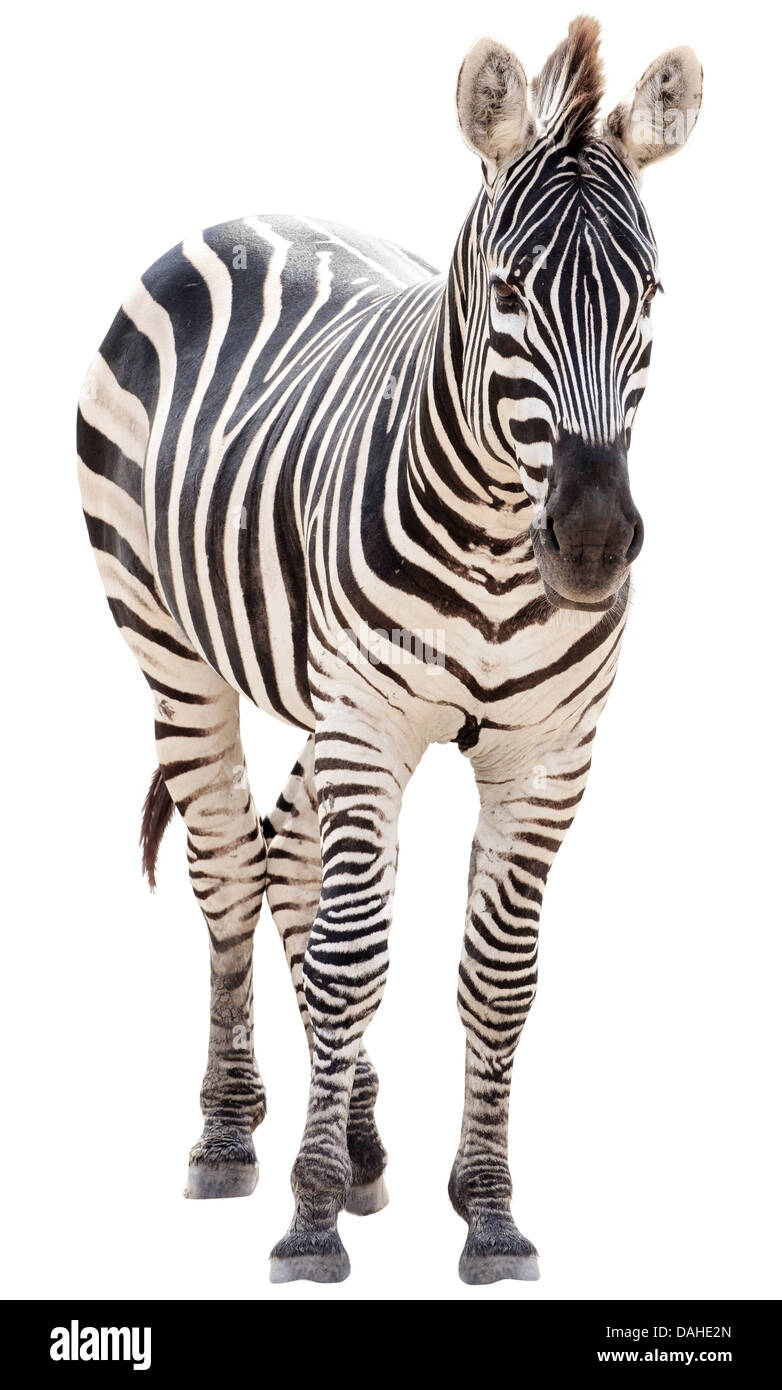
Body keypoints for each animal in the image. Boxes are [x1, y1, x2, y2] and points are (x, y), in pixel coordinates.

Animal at [77, 17, 702, 1285]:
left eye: (651, 290)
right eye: (509, 289)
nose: (592, 539)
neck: (501, 544)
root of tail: (244, 213)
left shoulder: (544, 754)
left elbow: (495, 978)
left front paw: (489, 1210)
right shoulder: (370, 724)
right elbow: (352, 956)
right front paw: (308, 1219)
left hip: (323, 702)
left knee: (291, 860)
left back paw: (357, 1142)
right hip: (172, 648)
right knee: (233, 867)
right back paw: (231, 1136)